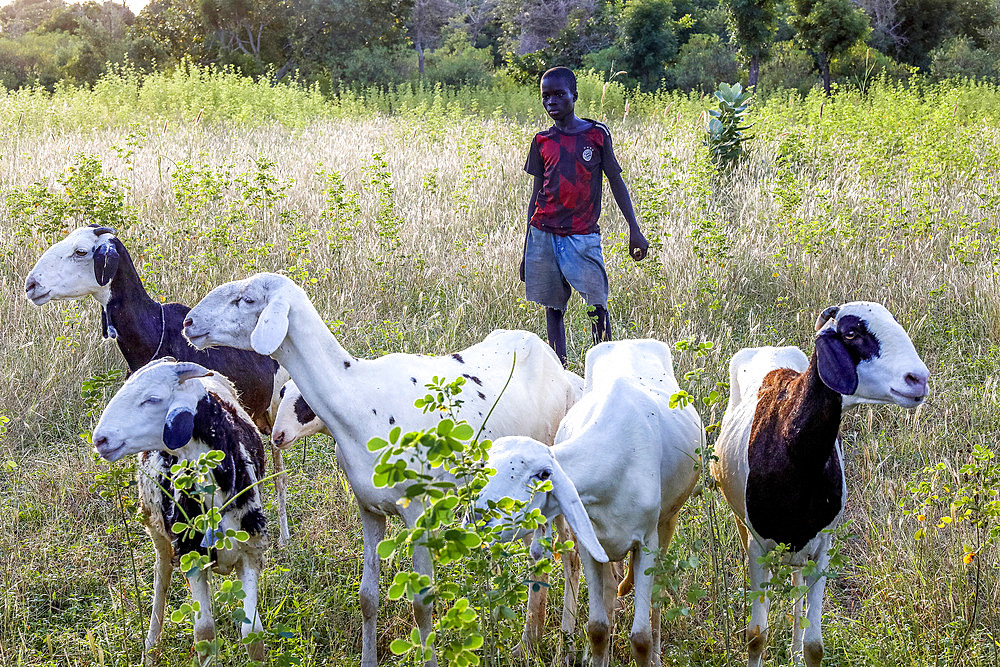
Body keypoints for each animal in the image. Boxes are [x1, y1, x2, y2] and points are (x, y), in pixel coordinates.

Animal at [90, 358, 268, 660]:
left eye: (152, 399)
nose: (100, 440)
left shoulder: (249, 550)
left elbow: (252, 632)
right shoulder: (191, 555)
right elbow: (204, 632)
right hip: (157, 530)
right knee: (161, 577)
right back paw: (151, 648)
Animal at [178, 272, 580, 667]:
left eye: (246, 300)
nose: (188, 323)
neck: (357, 397)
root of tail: (557, 365)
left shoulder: (419, 512)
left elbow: (421, 606)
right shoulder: (368, 508)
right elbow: (367, 597)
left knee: (551, 555)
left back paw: (538, 640)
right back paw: (550, 629)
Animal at [476, 340, 704, 667]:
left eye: (540, 474)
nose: (477, 517)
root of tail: (627, 342)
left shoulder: (645, 542)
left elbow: (641, 639)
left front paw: (648, 651)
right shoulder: (589, 543)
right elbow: (597, 629)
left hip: (668, 520)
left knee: (658, 589)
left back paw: (658, 655)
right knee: (610, 589)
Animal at [712, 304, 928, 667]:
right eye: (851, 333)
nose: (918, 380)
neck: (791, 445)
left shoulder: (822, 547)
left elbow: (815, 643)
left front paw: (802, 652)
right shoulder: (759, 549)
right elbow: (757, 636)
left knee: (798, 595)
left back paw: (794, 653)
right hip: (746, 528)